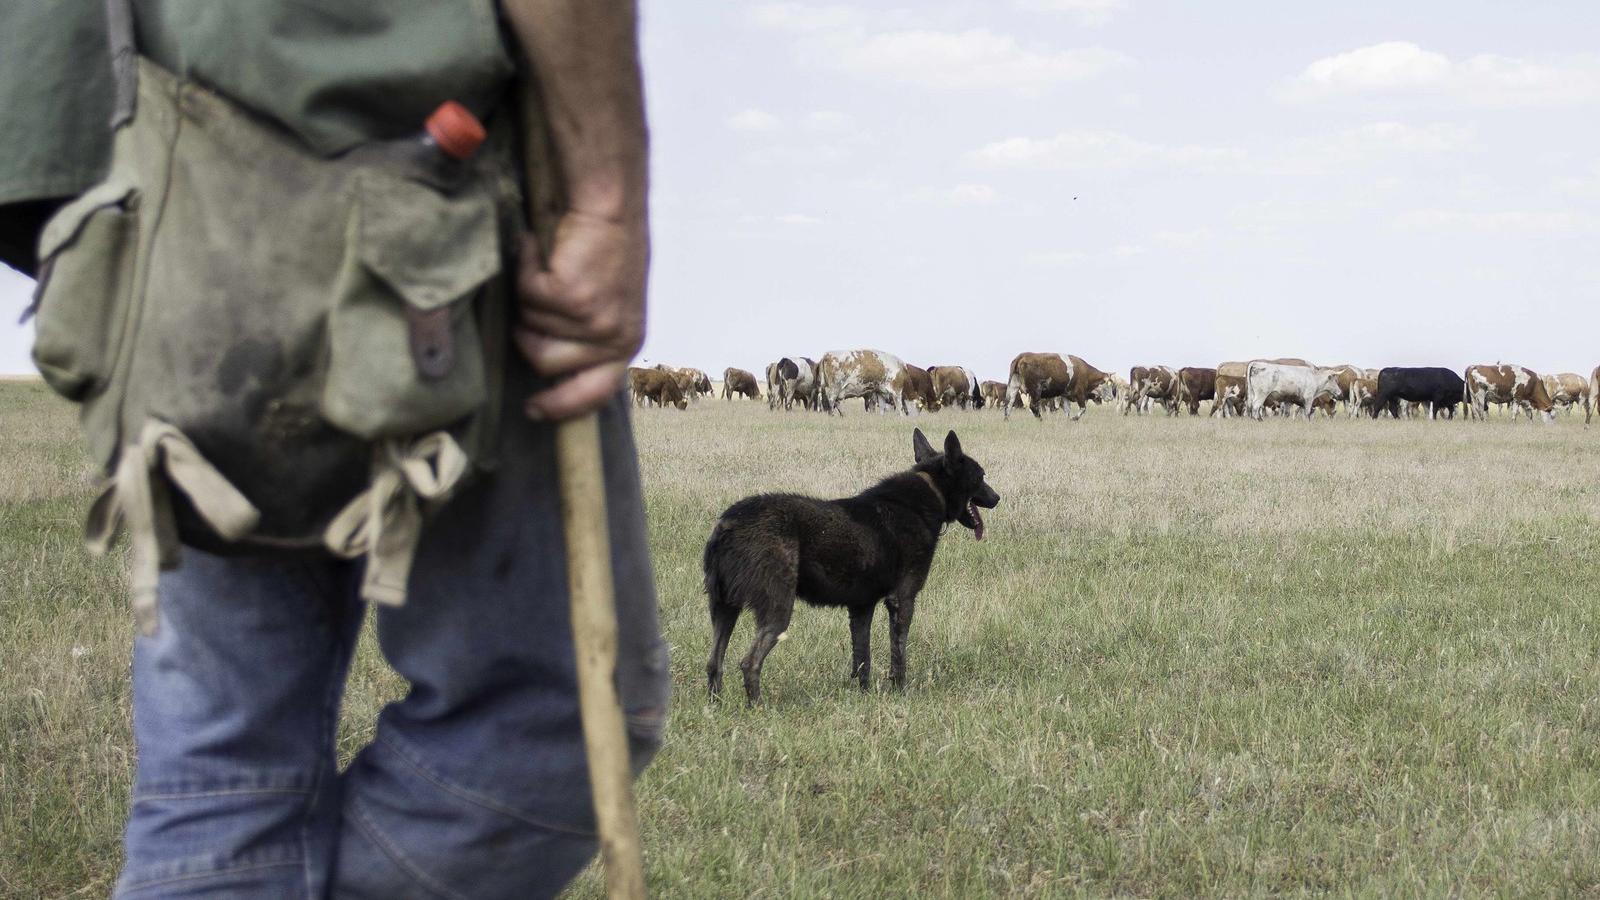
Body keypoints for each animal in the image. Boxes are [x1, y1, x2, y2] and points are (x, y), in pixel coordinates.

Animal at [704, 425, 992, 701]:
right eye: (980, 476)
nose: (997, 497)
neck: (931, 491)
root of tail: (729, 524)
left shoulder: (861, 607)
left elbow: (862, 659)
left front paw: (864, 695)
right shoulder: (902, 599)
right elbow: (898, 657)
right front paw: (901, 692)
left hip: (723, 608)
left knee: (714, 663)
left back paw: (715, 706)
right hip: (777, 610)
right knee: (749, 662)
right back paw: (758, 707)